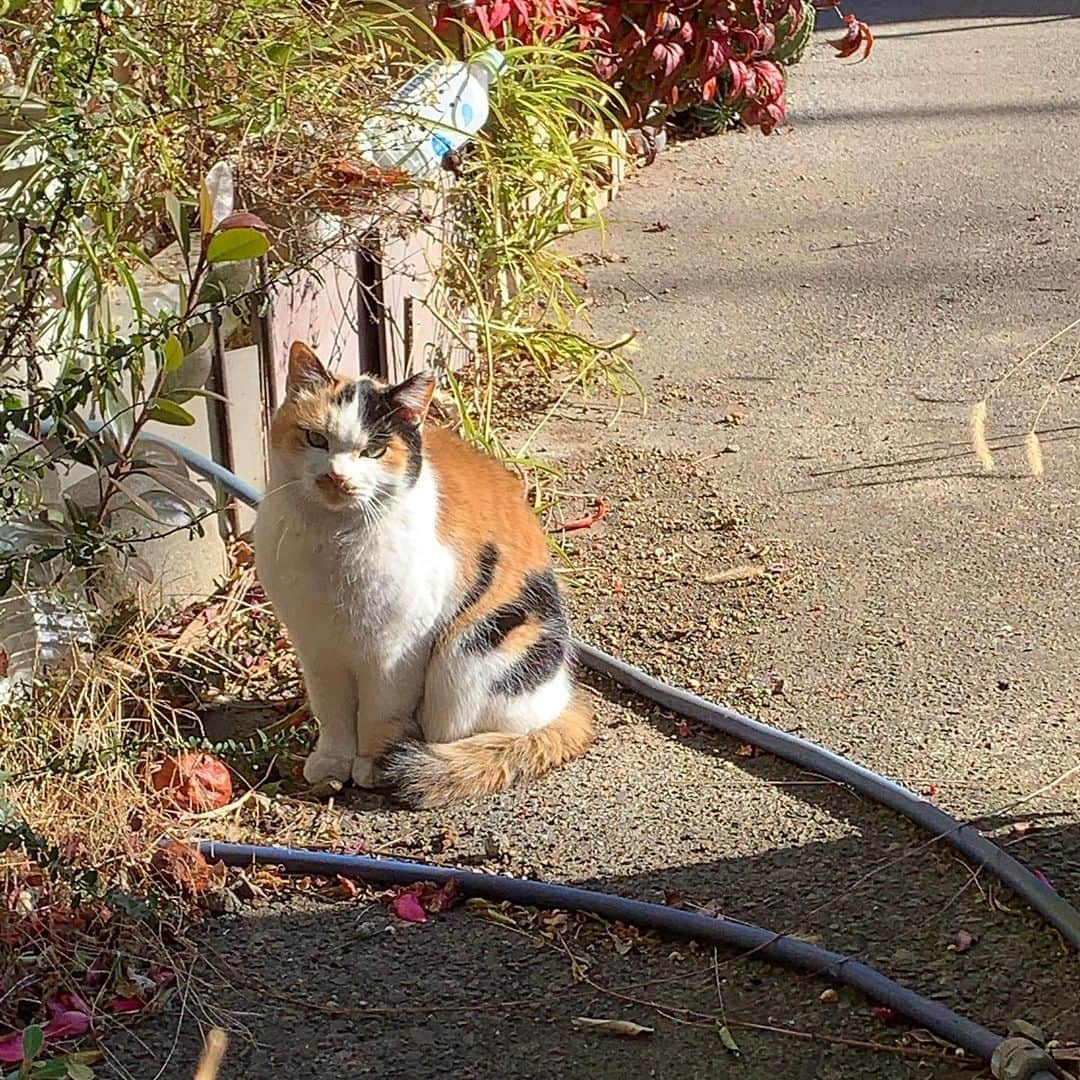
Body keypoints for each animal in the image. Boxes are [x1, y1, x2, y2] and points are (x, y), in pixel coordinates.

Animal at [250, 341, 591, 807]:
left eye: (373, 452)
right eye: (316, 439)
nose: (336, 477)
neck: (333, 540)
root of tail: (564, 701)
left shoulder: (394, 654)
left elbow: (377, 714)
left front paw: (370, 764)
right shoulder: (317, 649)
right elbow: (332, 713)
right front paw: (333, 763)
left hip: (469, 653)